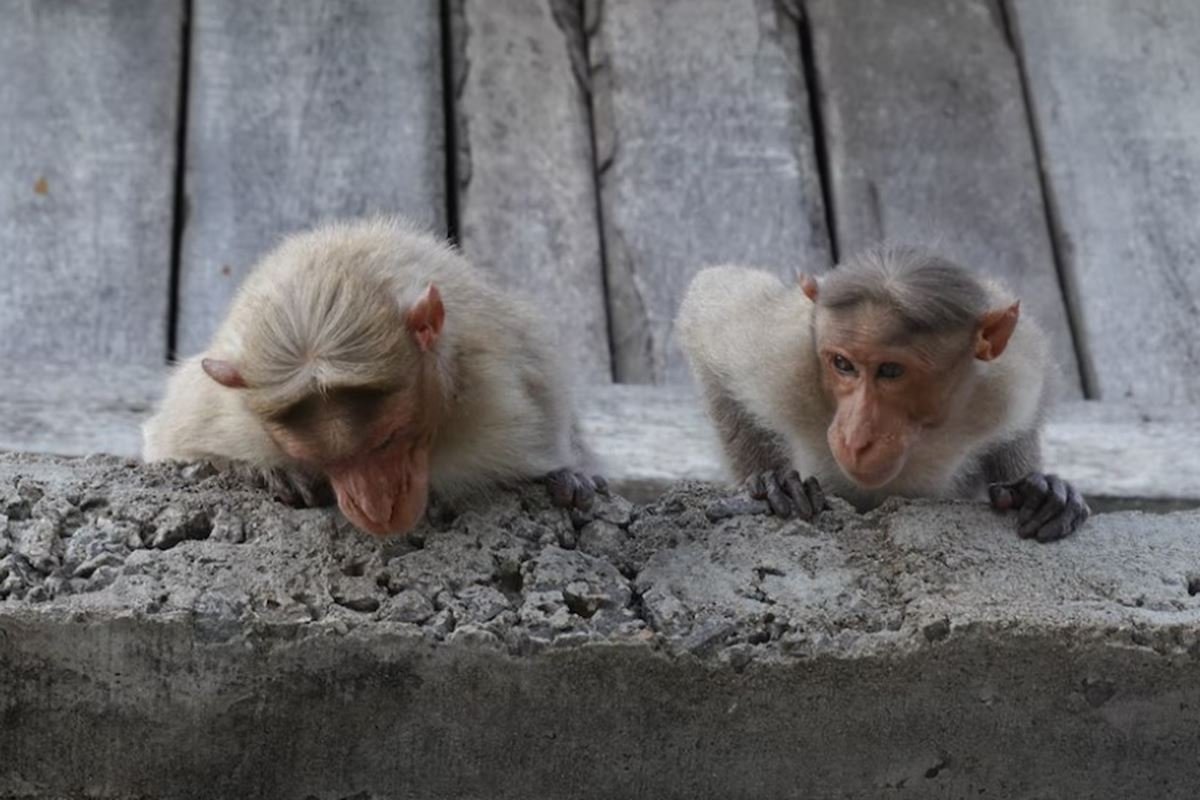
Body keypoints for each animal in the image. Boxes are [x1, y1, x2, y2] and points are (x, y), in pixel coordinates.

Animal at [141, 217, 604, 537]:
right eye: (324, 462)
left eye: (388, 440)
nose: (376, 510)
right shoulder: (224, 413)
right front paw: (261, 471)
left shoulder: (506, 388)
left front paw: (567, 474)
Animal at [681, 245, 1094, 544]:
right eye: (843, 364)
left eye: (891, 371)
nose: (856, 437)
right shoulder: (779, 355)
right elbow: (707, 308)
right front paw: (773, 482)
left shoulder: (1013, 374)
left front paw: (1040, 491)